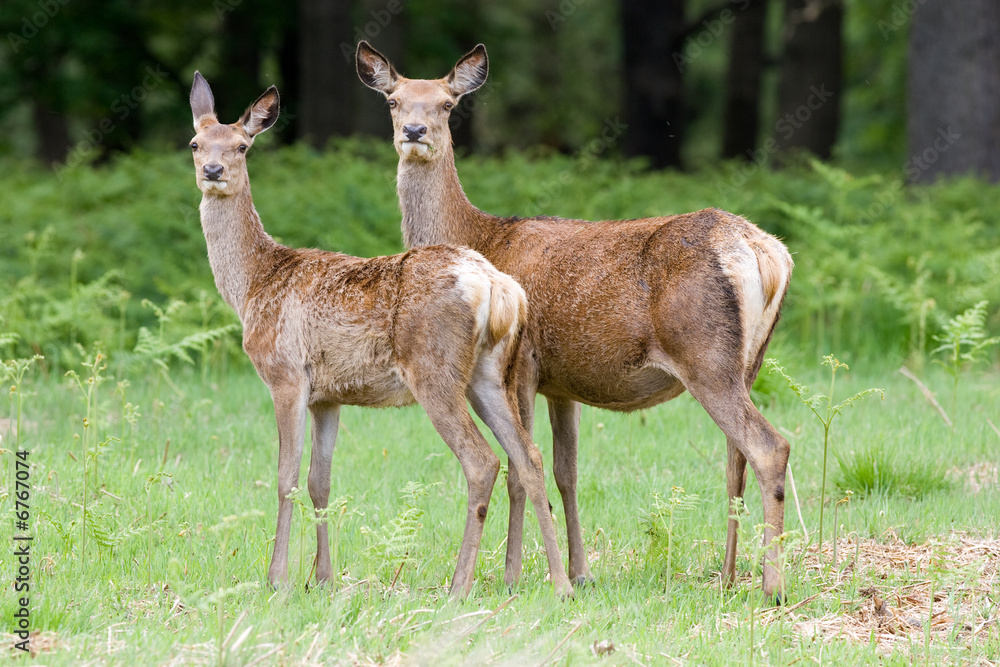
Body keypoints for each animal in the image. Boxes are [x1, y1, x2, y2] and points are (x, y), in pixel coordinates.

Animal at [189, 73, 572, 600]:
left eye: (242, 147)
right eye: (195, 142)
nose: (212, 170)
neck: (253, 285)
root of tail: (499, 288)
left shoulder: (285, 374)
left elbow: (286, 477)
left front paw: (277, 578)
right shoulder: (327, 396)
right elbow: (320, 481)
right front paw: (321, 578)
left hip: (433, 368)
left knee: (482, 461)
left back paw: (459, 586)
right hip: (488, 374)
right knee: (528, 457)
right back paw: (561, 584)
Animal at [360, 43, 796, 600]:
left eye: (446, 104)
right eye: (393, 100)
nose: (414, 132)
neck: (480, 236)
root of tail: (767, 254)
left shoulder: (523, 361)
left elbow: (520, 470)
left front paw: (516, 578)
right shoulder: (561, 383)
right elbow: (566, 471)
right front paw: (581, 571)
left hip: (705, 354)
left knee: (768, 447)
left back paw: (772, 586)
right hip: (751, 361)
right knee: (734, 459)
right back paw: (728, 574)